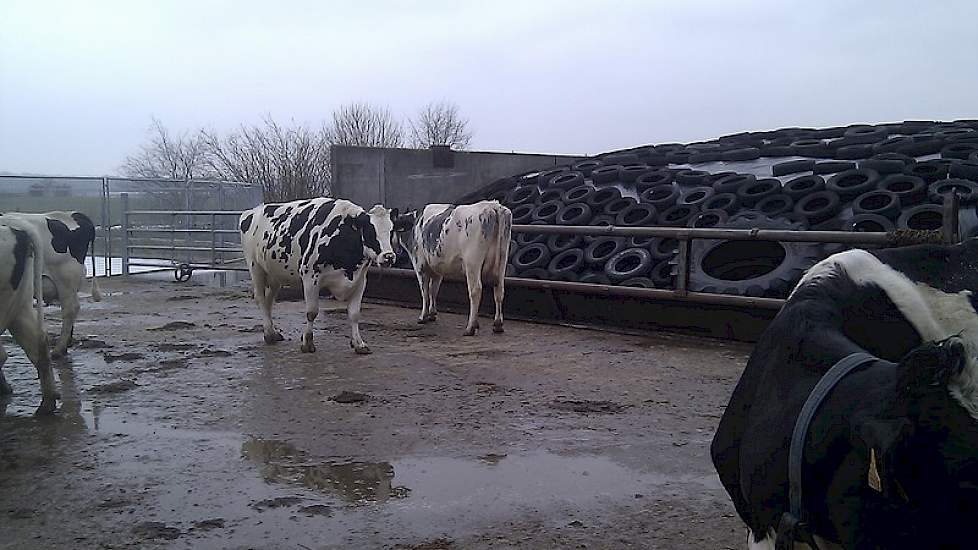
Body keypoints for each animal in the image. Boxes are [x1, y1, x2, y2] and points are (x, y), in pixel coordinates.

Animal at [238, 201, 402, 356]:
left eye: (391, 231)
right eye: (370, 232)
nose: (388, 257)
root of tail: (252, 211)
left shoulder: (360, 280)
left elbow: (354, 314)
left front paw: (359, 344)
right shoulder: (310, 278)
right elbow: (312, 312)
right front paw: (307, 343)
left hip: (274, 274)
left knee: (269, 300)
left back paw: (273, 332)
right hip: (256, 268)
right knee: (260, 298)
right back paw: (269, 334)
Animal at [392, 202, 510, 336]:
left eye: (392, 228)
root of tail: (493, 206)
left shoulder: (420, 265)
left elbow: (425, 292)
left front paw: (423, 316)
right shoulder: (437, 268)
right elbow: (433, 290)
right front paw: (432, 314)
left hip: (472, 263)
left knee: (476, 291)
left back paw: (470, 327)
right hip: (502, 261)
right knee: (499, 290)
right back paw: (497, 325)